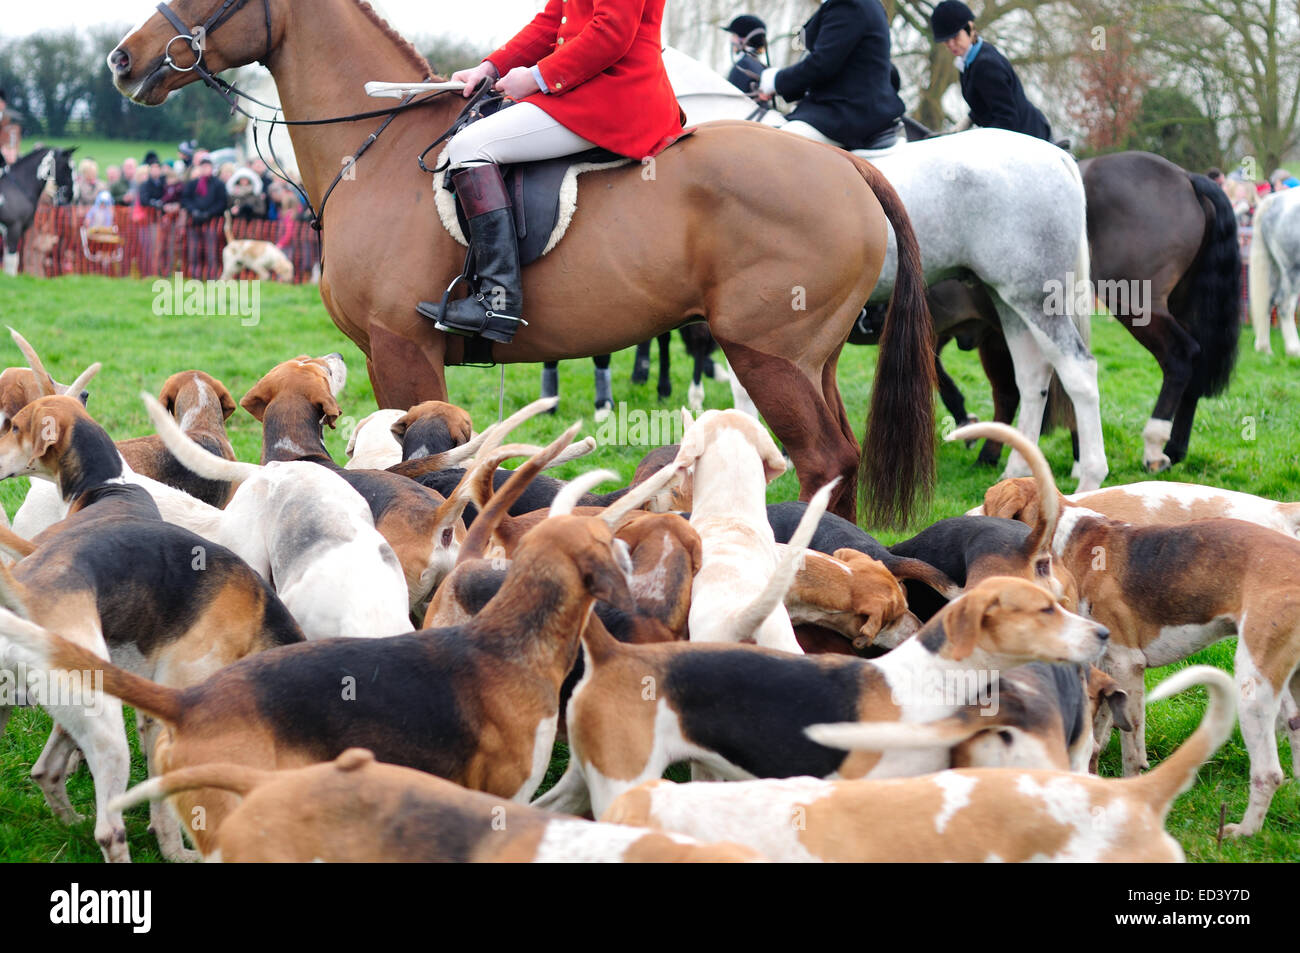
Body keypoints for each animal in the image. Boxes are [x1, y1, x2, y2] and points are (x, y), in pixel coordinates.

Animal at [0, 146, 76, 275]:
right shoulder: (12, 228)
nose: (71, 194)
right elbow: (11, 262)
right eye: (67, 167)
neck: (18, 187)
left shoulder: (20, 230)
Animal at [665, 45, 1102, 491]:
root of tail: (1055, 153)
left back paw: (1088, 479)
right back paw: (1017, 472)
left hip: (1033, 295)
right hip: (1006, 298)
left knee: (1077, 374)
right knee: (1033, 376)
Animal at [1242, 188, 1300, 356]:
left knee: (1268, 301)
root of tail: (1275, 200)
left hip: (1273, 268)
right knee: (1284, 303)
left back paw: (1264, 349)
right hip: (1292, 269)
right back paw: (1294, 350)